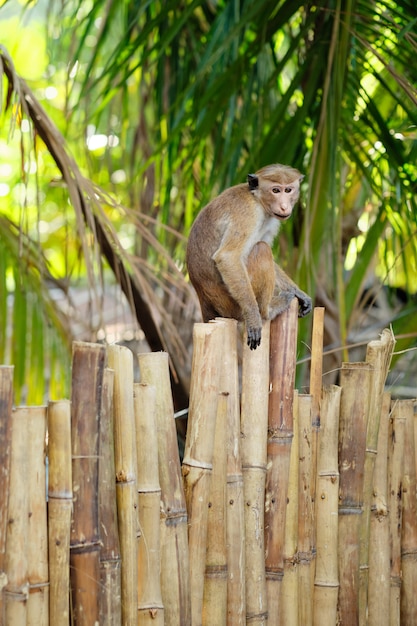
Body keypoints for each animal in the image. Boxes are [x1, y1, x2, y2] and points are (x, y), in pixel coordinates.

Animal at [186, 163, 312, 348]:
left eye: (288, 190)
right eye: (275, 190)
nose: (284, 206)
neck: (258, 201)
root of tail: (203, 298)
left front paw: (299, 293)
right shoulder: (248, 214)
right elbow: (227, 256)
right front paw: (253, 317)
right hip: (233, 305)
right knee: (261, 249)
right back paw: (267, 311)